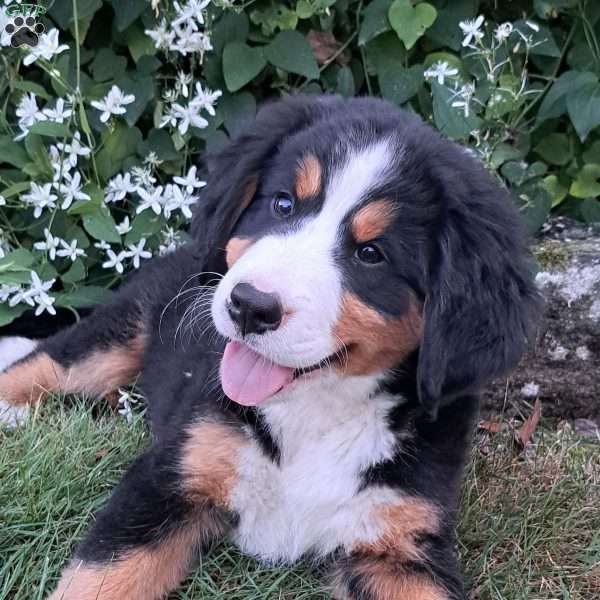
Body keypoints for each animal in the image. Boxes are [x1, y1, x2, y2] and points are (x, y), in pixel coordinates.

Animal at [0, 96, 540, 596]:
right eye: (283, 204)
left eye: (371, 254)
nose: (250, 306)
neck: (313, 413)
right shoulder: (169, 477)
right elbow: (98, 579)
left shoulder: (401, 542)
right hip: (121, 329)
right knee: (50, 364)